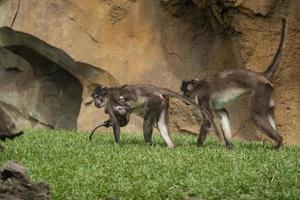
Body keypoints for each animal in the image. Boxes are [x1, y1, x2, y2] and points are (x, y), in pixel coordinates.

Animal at [90, 83, 221, 148]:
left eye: (96, 97)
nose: (96, 103)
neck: (108, 94)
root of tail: (157, 90)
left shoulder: (109, 104)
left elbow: (117, 122)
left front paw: (117, 145)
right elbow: (125, 117)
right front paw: (108, 122)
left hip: (154, 101)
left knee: (146, 123)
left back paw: (149, 145)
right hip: (163, 102)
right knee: (161, 124)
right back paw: (171, 147)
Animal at [179, 18, 288, 149]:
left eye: (185, 92)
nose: (183, 97)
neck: (198, 85)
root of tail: (260, 75)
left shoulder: (202, 96)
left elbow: (207, 121)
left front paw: (198, 147)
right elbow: (223, 114)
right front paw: (230, 147)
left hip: (260, 89)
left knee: (256, 115)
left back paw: (279, 142)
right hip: (268, 92)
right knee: (269, 113)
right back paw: (279, 146)